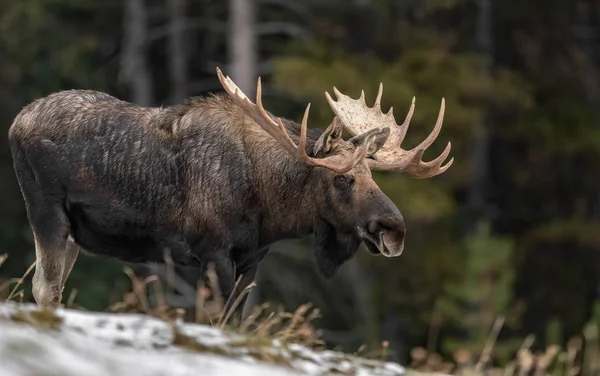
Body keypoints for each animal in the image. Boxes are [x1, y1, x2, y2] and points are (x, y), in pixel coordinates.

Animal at [7, 68, 452, 318]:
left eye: (371, 175)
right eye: (341, 179)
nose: (394, 229)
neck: (270, 209)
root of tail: (15, 122)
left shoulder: (250, 261)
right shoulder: (213, 253)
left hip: (74, 233)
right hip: (46, 212)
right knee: (45, 287)